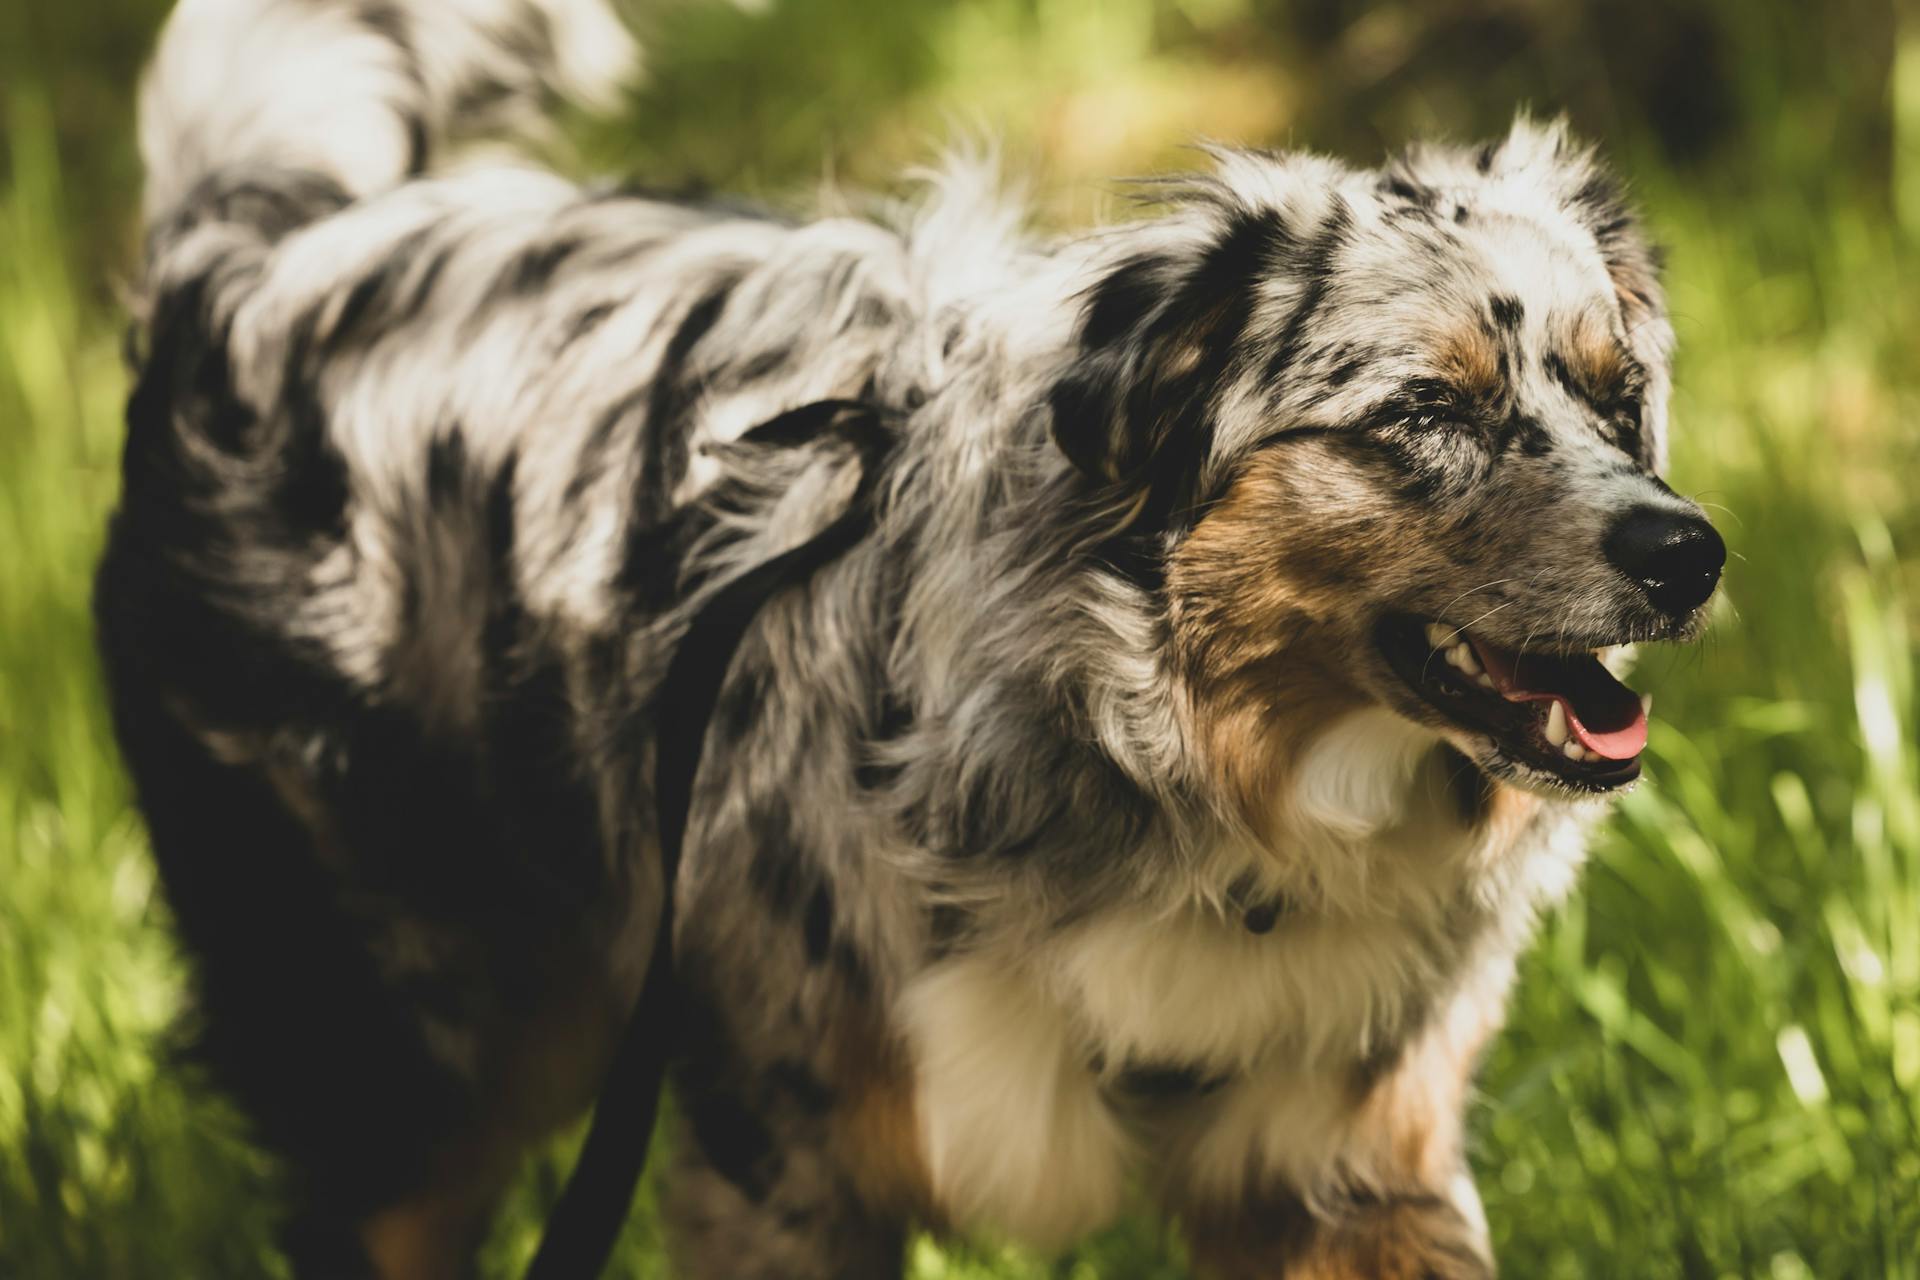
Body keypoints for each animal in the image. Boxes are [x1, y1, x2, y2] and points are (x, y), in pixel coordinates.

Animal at [97, 2, 1735, 1274]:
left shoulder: (1338, 1169)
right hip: (421, 1046)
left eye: (1617, 398)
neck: (1198, 794)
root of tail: (257, 253)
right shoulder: (786, 1163)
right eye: (1425, 412)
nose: (1689, 553)